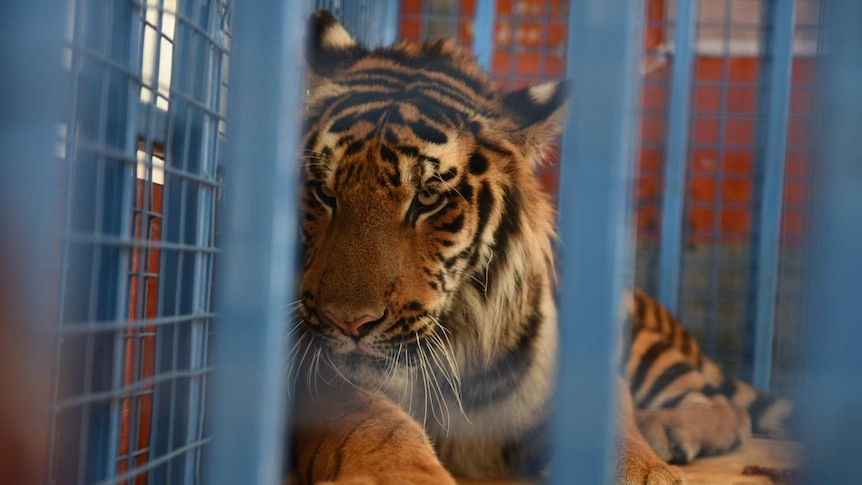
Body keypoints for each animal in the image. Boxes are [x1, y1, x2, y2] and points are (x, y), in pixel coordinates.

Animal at [290, 9, 796, 482]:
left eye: (428, 199)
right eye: (324, 191)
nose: (349, 323)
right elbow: (373, 420)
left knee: (726, 409)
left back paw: (666, 430)